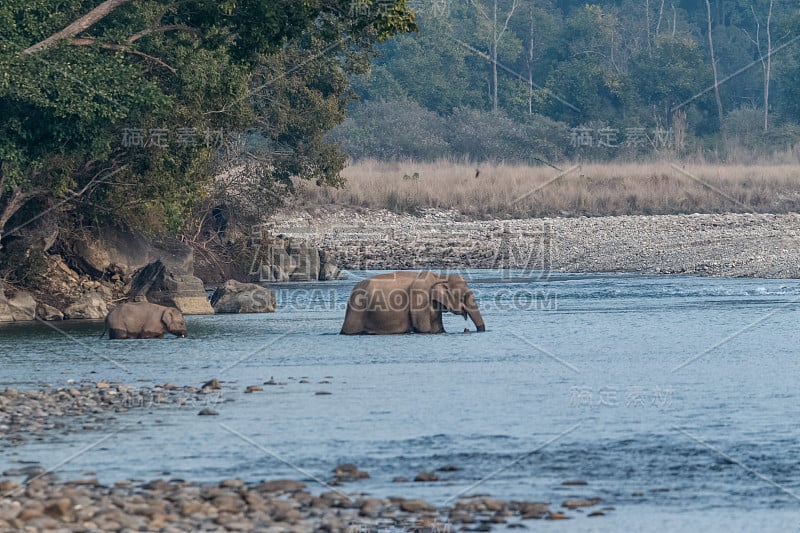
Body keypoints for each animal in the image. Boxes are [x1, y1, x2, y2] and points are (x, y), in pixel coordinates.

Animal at [340, 272, 484, 334]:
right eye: (464, 296)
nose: (466, 329)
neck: (440, 277)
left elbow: (437, 329)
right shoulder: (419, 299)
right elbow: (423, 329)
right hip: (357, 310)